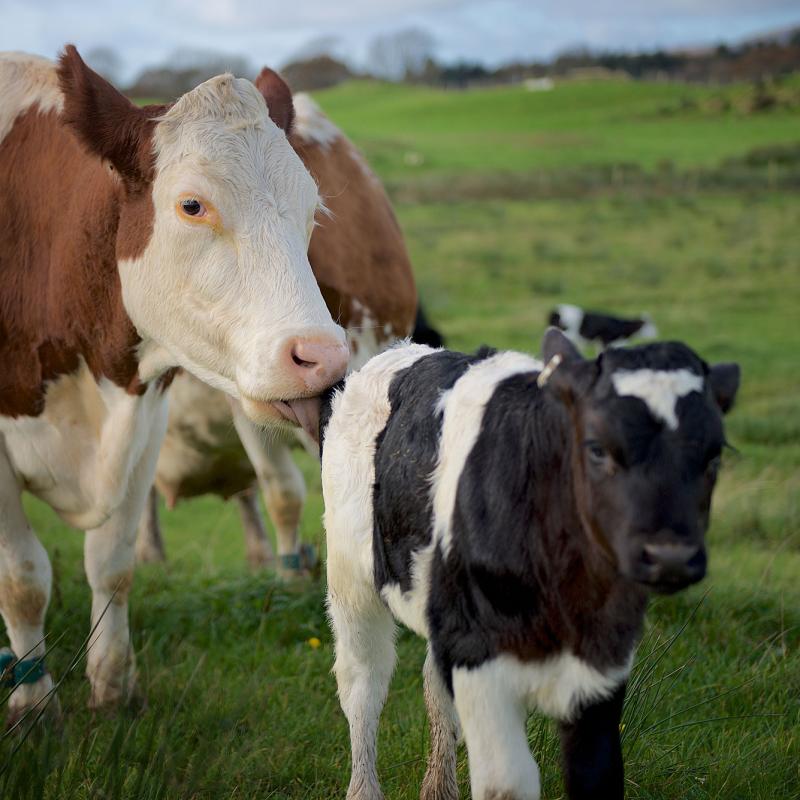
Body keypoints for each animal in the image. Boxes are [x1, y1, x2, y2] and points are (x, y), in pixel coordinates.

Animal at [0, 48, 348, 727]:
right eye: (192, 206)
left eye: (311, 210)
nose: (322, 358)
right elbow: (23, 579)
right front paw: (34, 704)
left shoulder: (144, 417)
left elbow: (114, 564)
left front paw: (114, 690)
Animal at [320, 329, 739, 800]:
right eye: (596, 447)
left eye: (714, 456)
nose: (670, 556)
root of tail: (403, 350)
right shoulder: (480, 657)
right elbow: (507, 782)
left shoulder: (604, 663)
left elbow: (598, 774)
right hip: (351, 583)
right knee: (363, 684)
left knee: (433, 684)